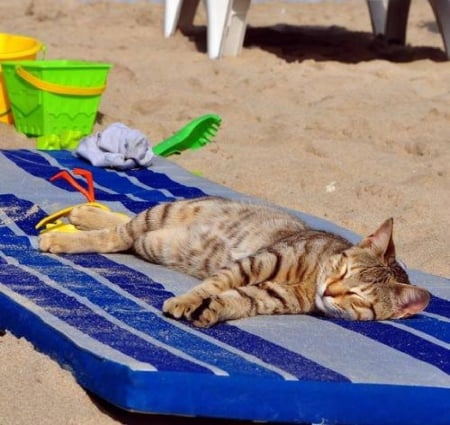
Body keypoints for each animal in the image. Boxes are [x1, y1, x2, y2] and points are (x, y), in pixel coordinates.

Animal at [38, 197, 428, 326]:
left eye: (358, 297)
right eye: (342, 269)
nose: (330, 291)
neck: (311, 278)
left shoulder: (269, 295)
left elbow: (235, 300)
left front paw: (210, 311)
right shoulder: (260, 261)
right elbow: (215, 283)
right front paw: (186, 301)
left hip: (152, 242)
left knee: (126, 233)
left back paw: (86, 215)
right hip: (163, 212)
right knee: (118, 232)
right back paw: (67, 232)